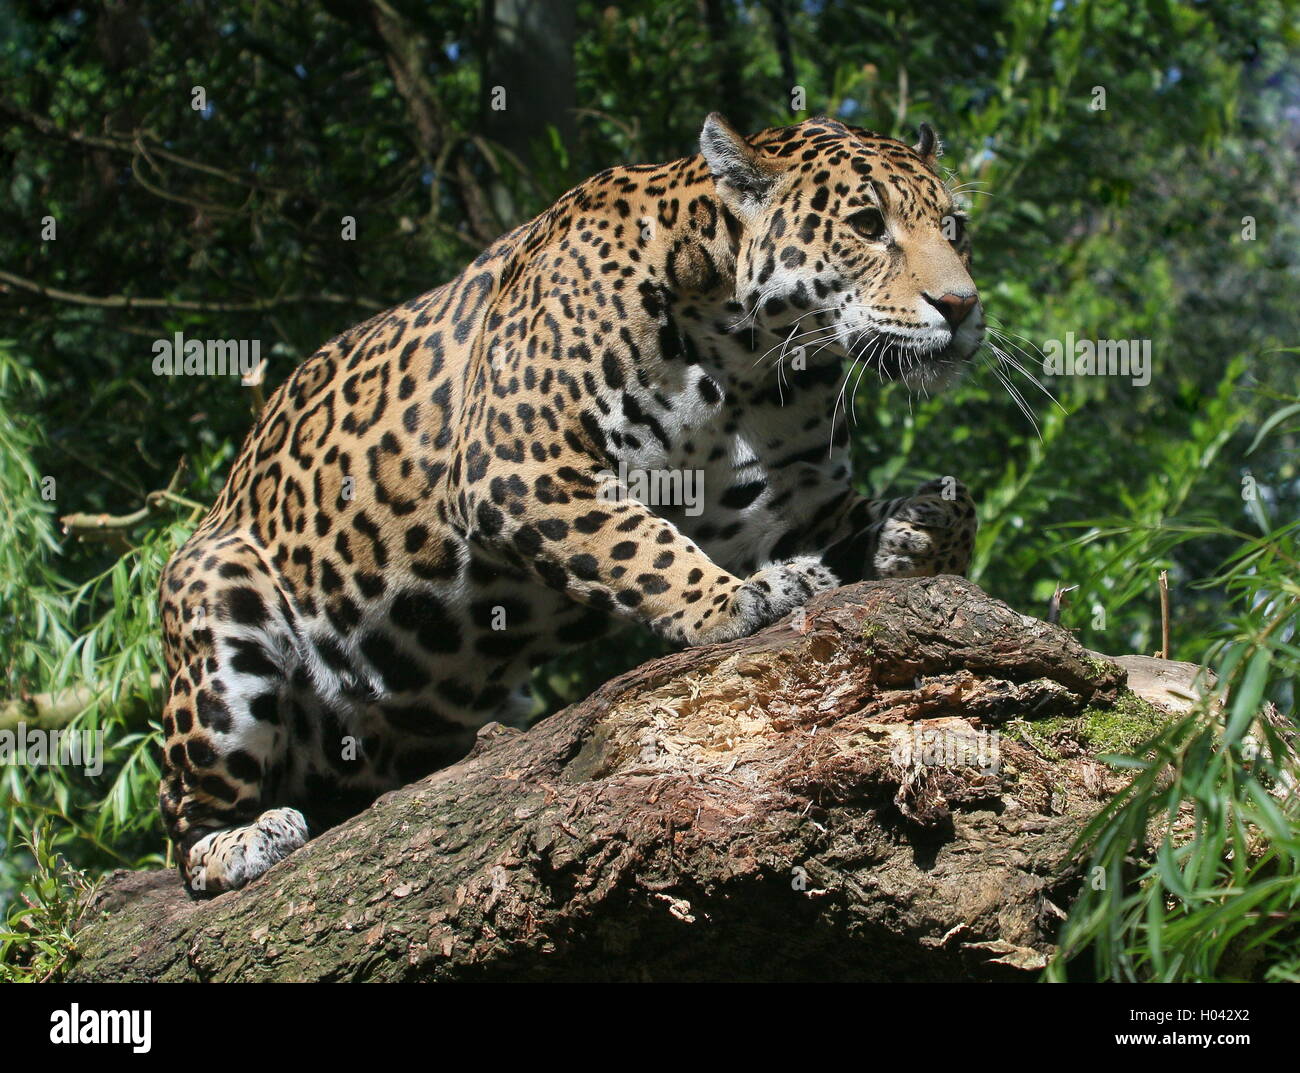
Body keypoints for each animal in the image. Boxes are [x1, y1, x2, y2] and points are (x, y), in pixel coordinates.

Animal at [157, 113, 984, 896]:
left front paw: (914, 535)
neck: (748, 358)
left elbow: (959, 500)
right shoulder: (515, 463)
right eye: (867, 224)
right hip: (218, 606)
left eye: (954, 227)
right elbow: (634, 540)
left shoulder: (786, 501)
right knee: (181, 812)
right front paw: (736, 599)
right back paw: (243, 841)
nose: (962, 305)